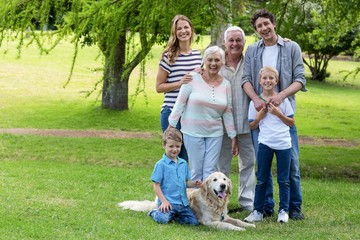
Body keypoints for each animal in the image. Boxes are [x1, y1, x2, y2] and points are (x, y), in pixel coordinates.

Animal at [117, 172, 253, 232]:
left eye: (224, 179)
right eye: (215, 180)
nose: (223, 186)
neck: (214, 202)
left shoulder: (225, 216)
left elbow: (237, 220)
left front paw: (248, 225)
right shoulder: (209, 222)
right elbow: (226, 225)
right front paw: (238, 229)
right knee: (155, 211)